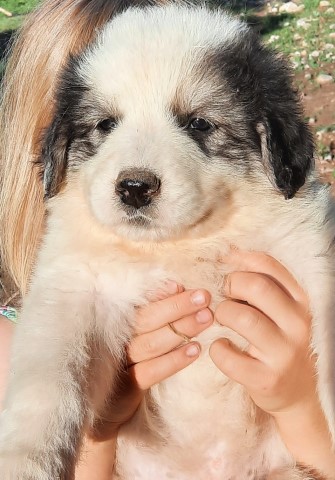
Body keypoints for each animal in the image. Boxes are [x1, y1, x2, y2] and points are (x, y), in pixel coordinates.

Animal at [0, 3, 335, 480]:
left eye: (199, 123)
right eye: (105, 124)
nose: (135, 187)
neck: (182, 246)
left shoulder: (309, 248)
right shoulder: (75, 285)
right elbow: (46, 376)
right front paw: (24, 461)